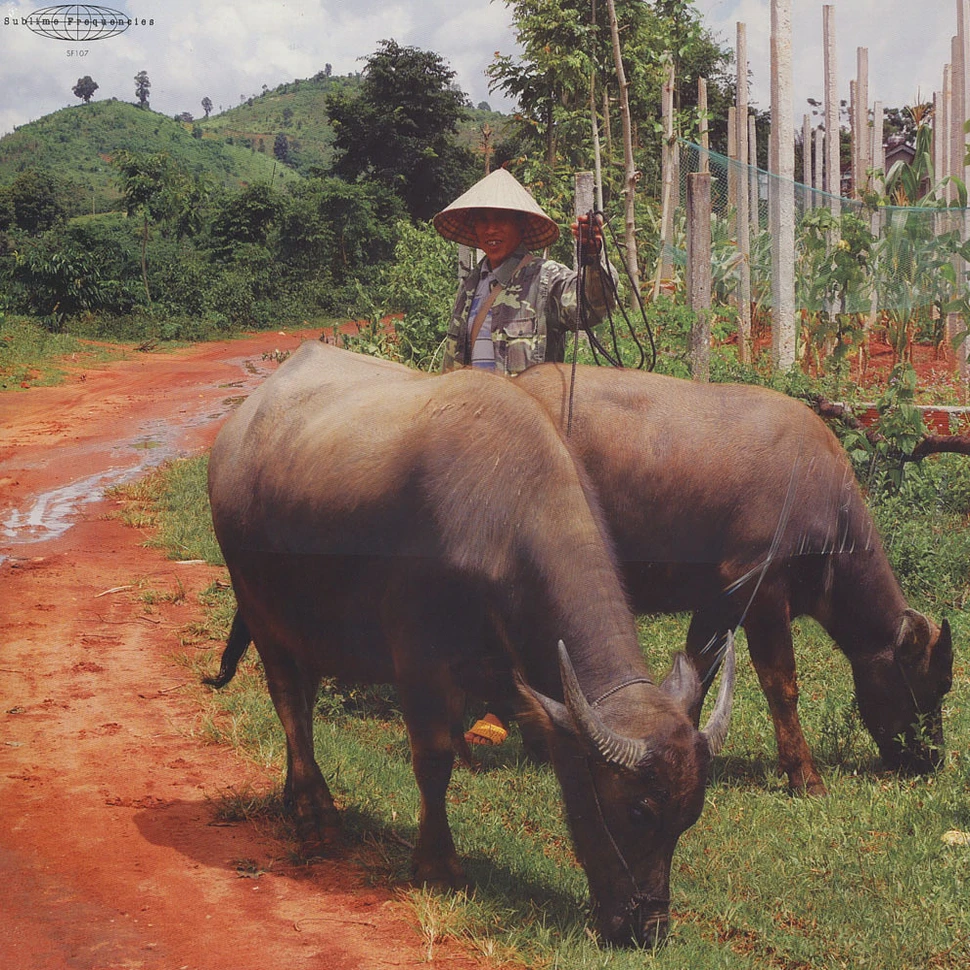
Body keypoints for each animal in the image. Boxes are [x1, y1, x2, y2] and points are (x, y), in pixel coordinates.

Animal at [206, 342, 732, 944]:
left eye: (689, 817)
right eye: (639, 811)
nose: (649, 928)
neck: (503, 523)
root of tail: (234, 435)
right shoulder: (419, 660)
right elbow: (434, 758)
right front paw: (438, 866)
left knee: (306, 699)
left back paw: (295, 796)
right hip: (258, 606)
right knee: (288, 697)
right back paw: (317, 816)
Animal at [516, 364, 952, 796]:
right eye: (935, 685)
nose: (932, 759)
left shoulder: (720, 600)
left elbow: (699, 671)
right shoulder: (763, 590)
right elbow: (781, 684)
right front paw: (805, 775)